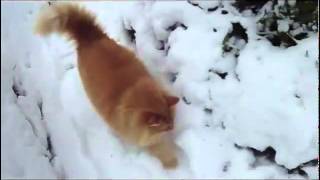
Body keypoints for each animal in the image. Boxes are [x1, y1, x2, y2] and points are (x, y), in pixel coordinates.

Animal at [35, 2, 180, 169]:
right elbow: (161, 150)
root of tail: (89, 36)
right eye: (167, 126)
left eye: (172, 123)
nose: (173, 128)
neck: (132, 95)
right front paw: (173, 163)